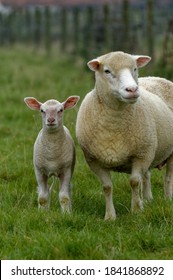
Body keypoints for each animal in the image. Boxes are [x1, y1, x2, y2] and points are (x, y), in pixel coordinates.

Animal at [76, 51, 173, 220]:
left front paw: (136, 210)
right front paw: (110, 216)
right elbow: (107, 187)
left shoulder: (141, 156)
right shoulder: (94, 161)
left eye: (134, 68)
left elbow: (134, 182)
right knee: (147, 176)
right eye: (107, 71)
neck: (114, 124)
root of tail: (154, 77)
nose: (132, 89)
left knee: (167, 177)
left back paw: (167, 199)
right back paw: (147, 200)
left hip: (165, 152)